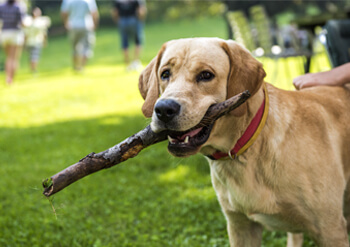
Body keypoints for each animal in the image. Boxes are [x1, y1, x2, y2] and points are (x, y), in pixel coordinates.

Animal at [137, 37, 350, 246]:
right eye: (165, 74)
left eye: (206, 75)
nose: (164, 109)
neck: (248, 149)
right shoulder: (240, 225)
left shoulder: (330, 230)